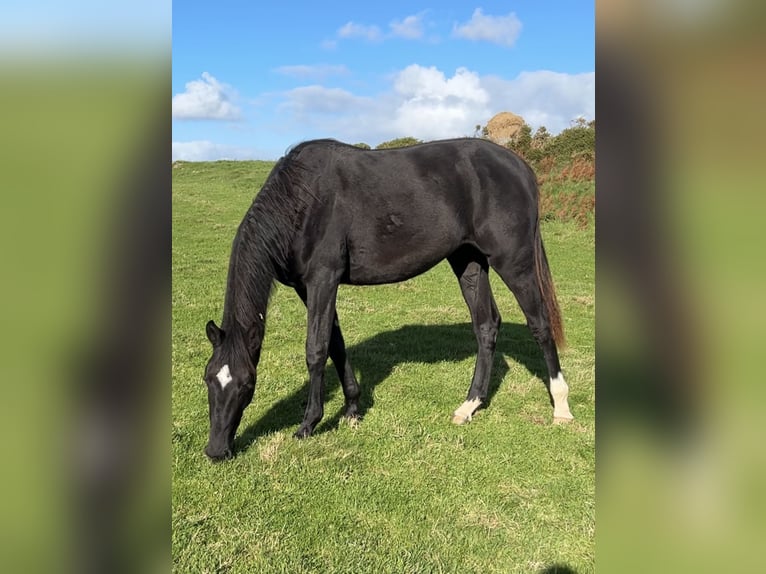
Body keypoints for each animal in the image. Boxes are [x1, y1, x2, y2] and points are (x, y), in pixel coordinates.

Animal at [202, 138, 573, 460]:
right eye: (208, 378)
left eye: (247, 384)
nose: (216, 451)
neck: (302, 200)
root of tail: (519, 166)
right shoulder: (307, 288)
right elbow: (336, 344)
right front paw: (352, 409)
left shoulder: (323, 279)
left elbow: (316, 349)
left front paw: (309, 423)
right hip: (468, 261)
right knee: (486, 326)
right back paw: (469, 405)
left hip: (514, 262)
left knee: (539, 324)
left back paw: (561, 407)